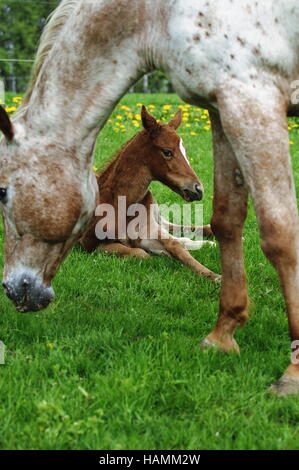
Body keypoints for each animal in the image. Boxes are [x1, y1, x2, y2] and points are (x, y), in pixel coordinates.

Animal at [81, 105, 221, 282]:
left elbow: (175, 245)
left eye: (185, 151)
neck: (121, 203)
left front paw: (213, 275)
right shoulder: (89, 244)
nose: (198, 190)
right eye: (167, 152)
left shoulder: (149, 229)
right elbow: (141, 253)